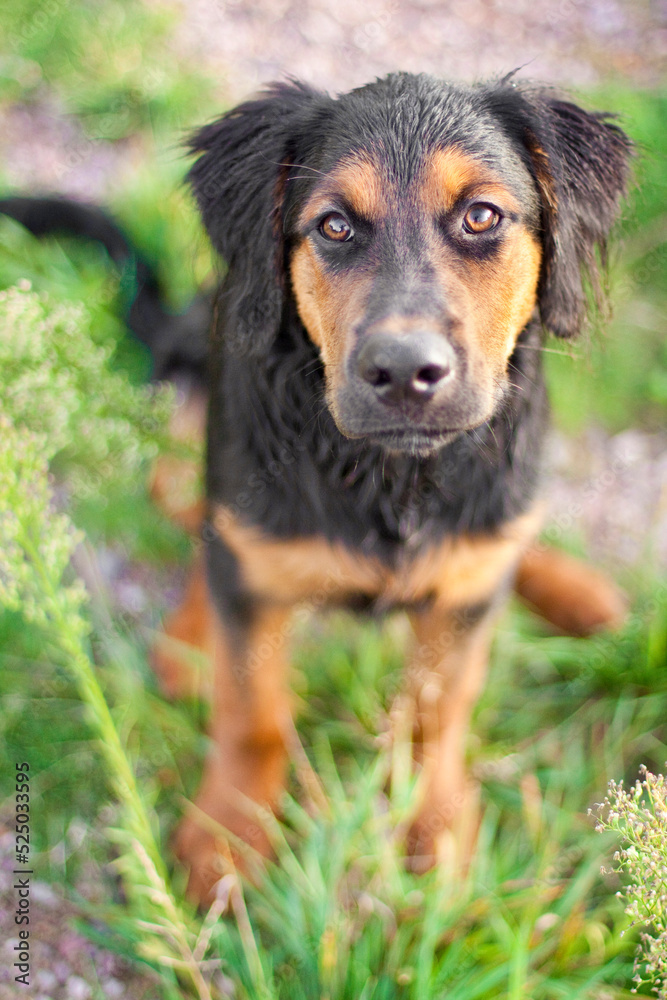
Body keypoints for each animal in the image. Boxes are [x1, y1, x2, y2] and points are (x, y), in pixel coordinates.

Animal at [0, 72, 636, 908]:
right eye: (333, 226)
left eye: (481, 216)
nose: (403, 373)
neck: (387, 474)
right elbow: (253, 709)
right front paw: (227, 836)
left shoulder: (465, 597)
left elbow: (439, 709)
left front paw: (435, 832)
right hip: (190, 448)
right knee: (209, 527)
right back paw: (191, 641)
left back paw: (574, 589)